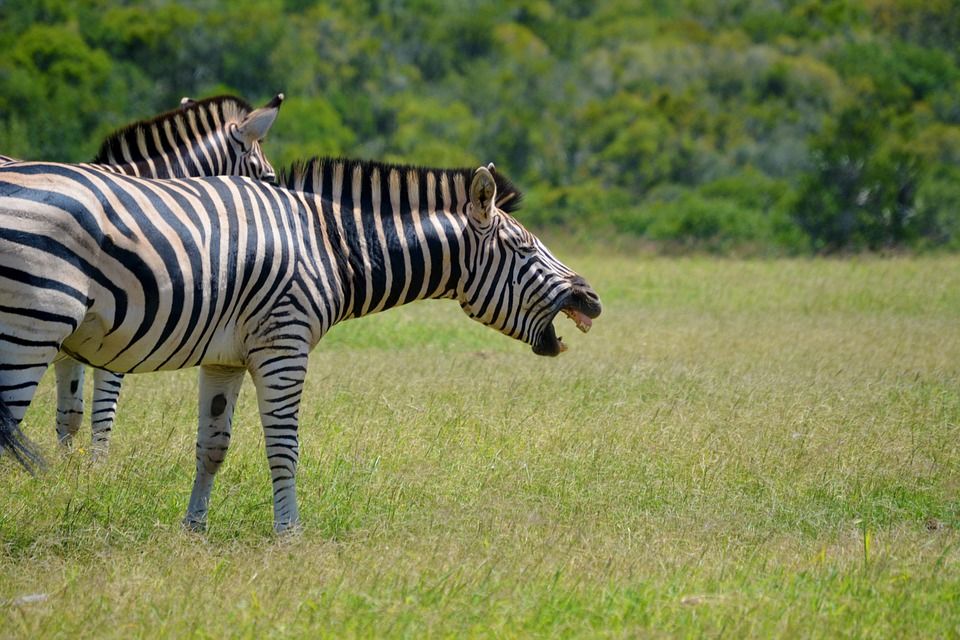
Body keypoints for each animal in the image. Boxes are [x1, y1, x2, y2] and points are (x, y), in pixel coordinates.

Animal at [0, 158, 600, 532]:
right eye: (523, 249)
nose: (592, 299)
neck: (330, 246)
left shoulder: (224, 357)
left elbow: (212, 447)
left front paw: (193, 530)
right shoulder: (283, 345)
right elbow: (283, 448)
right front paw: (289, 534)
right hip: (31, 325)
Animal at [8, 94, 284, 456]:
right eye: (269, 179)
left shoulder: (71, 341)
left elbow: (70, 413)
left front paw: (67, 468)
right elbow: (103, 413)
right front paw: (95, 466)